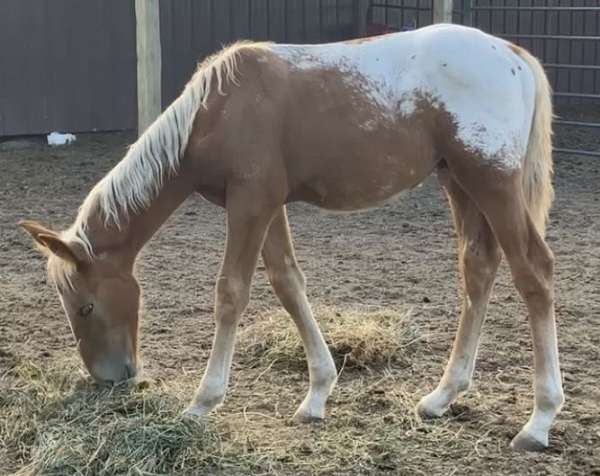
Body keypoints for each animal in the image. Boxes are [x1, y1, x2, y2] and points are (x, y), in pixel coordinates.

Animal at [19, 23, 564, 454]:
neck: (216, 110)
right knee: (479, 269)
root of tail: (514, 56)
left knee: (533, 271)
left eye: (86, 306)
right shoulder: (266, 205)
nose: (111, 378)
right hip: (459, 183)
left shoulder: (250, 203)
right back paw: (442, 396)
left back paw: (539, 421)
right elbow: (287, 282)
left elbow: (231, 293)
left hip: (492, 183)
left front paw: (202, 402)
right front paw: (318, 392)